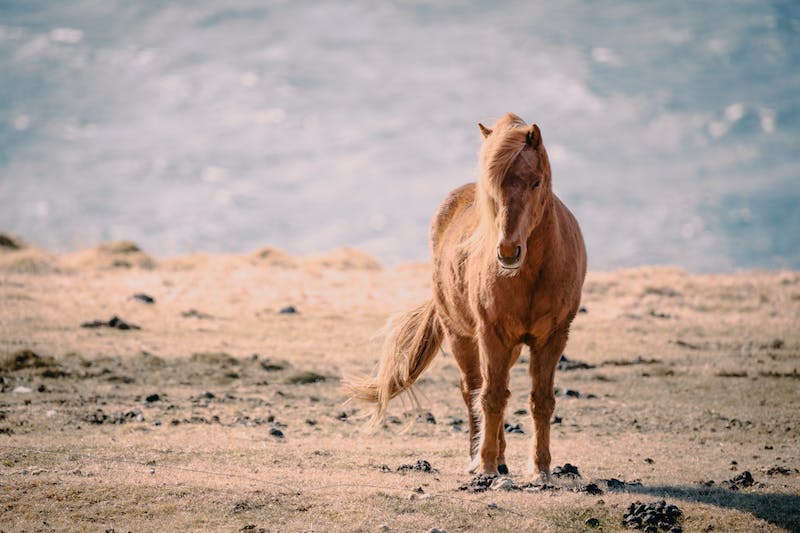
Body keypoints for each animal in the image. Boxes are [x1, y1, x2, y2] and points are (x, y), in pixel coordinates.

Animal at [346, 112, 584, 478]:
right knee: (474, 390)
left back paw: (502, 460)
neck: (531, 275)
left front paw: (541, 470)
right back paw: (484, 459)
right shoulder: (491, 335)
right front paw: (484, 464)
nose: (508, 251)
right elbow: (489, 397)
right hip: (462, 336)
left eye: (535, 182)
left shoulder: (553, 337)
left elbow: (541, 400)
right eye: (493, 187)